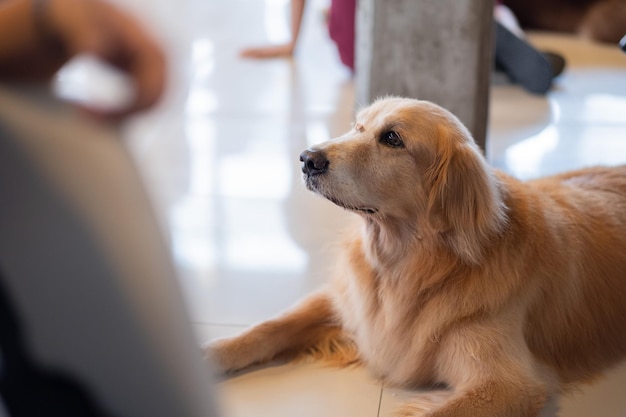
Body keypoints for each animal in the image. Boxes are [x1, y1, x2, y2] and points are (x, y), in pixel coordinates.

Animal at [207, 96, 624, 412]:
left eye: (392, 138)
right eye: (358, 127)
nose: (307, 158)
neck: (405, 264)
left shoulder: (510, 384)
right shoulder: (348, 300)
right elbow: (269, 327)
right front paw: (212, 352)